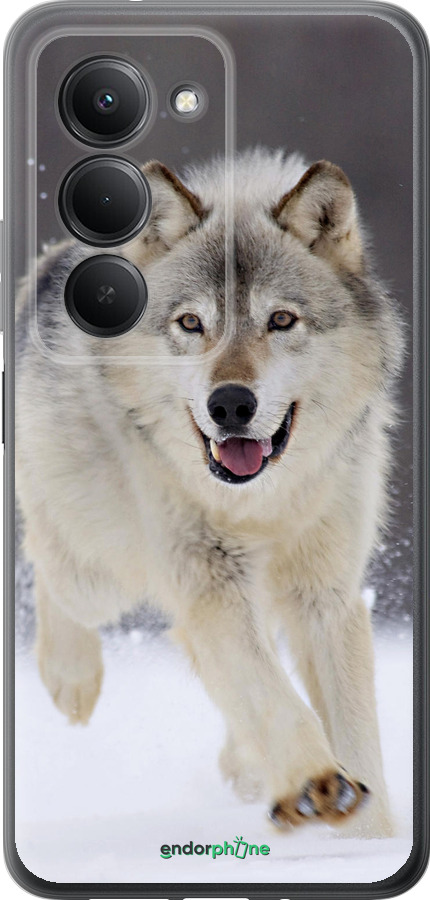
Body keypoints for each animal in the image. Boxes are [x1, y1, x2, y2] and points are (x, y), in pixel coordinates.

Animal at [16, 148, 403, 837]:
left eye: (281, 320)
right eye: (192, 323)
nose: (230, 405)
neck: (262, 503)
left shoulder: (325, 593)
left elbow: (354, 731)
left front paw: (369, 836)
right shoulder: (209, 581)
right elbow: (272, 695)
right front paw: (315, 783)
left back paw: (246, 766)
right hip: (101, 572)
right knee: (47, 562)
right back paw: (71, 680)